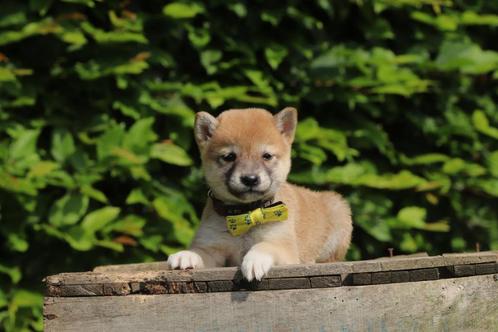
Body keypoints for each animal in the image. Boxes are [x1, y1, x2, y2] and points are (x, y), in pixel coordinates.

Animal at [168, 107, 354, 280]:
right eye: (229, 156)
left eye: (267, 156)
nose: (250, 179)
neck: (246, 215)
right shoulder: (214, 248)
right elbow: (200, 251)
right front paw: (187, 254)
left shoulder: (283, 247)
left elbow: (264, 246)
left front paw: (255, 260)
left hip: (338, 214)